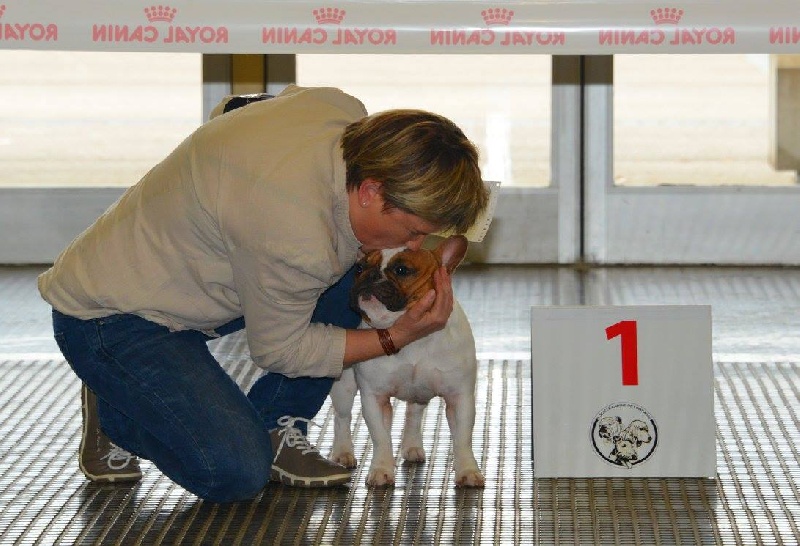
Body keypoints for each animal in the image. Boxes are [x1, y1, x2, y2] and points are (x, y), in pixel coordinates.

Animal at [329, 235, 485, 487]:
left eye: (402, 270)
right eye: (359, 268)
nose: (371, 274)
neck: (414, 340)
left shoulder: (459, 398)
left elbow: (462, 438)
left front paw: (468, 470)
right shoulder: (375, 398)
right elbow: (381, 437)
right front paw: (381, 469)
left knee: (413, 414)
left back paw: (412, 446)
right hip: (344, 387)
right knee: (342, 417)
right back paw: (343, 452)